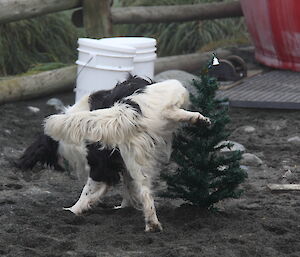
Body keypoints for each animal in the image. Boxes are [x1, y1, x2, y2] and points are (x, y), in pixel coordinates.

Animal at [19, 75, 211, 231]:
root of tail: (128, 107)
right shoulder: (116, 164)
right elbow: (123, 186)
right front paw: (123, 207)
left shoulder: (101, 166)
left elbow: (91, 190)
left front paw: (76, 209)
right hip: (136, 155)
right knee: (145, 191)